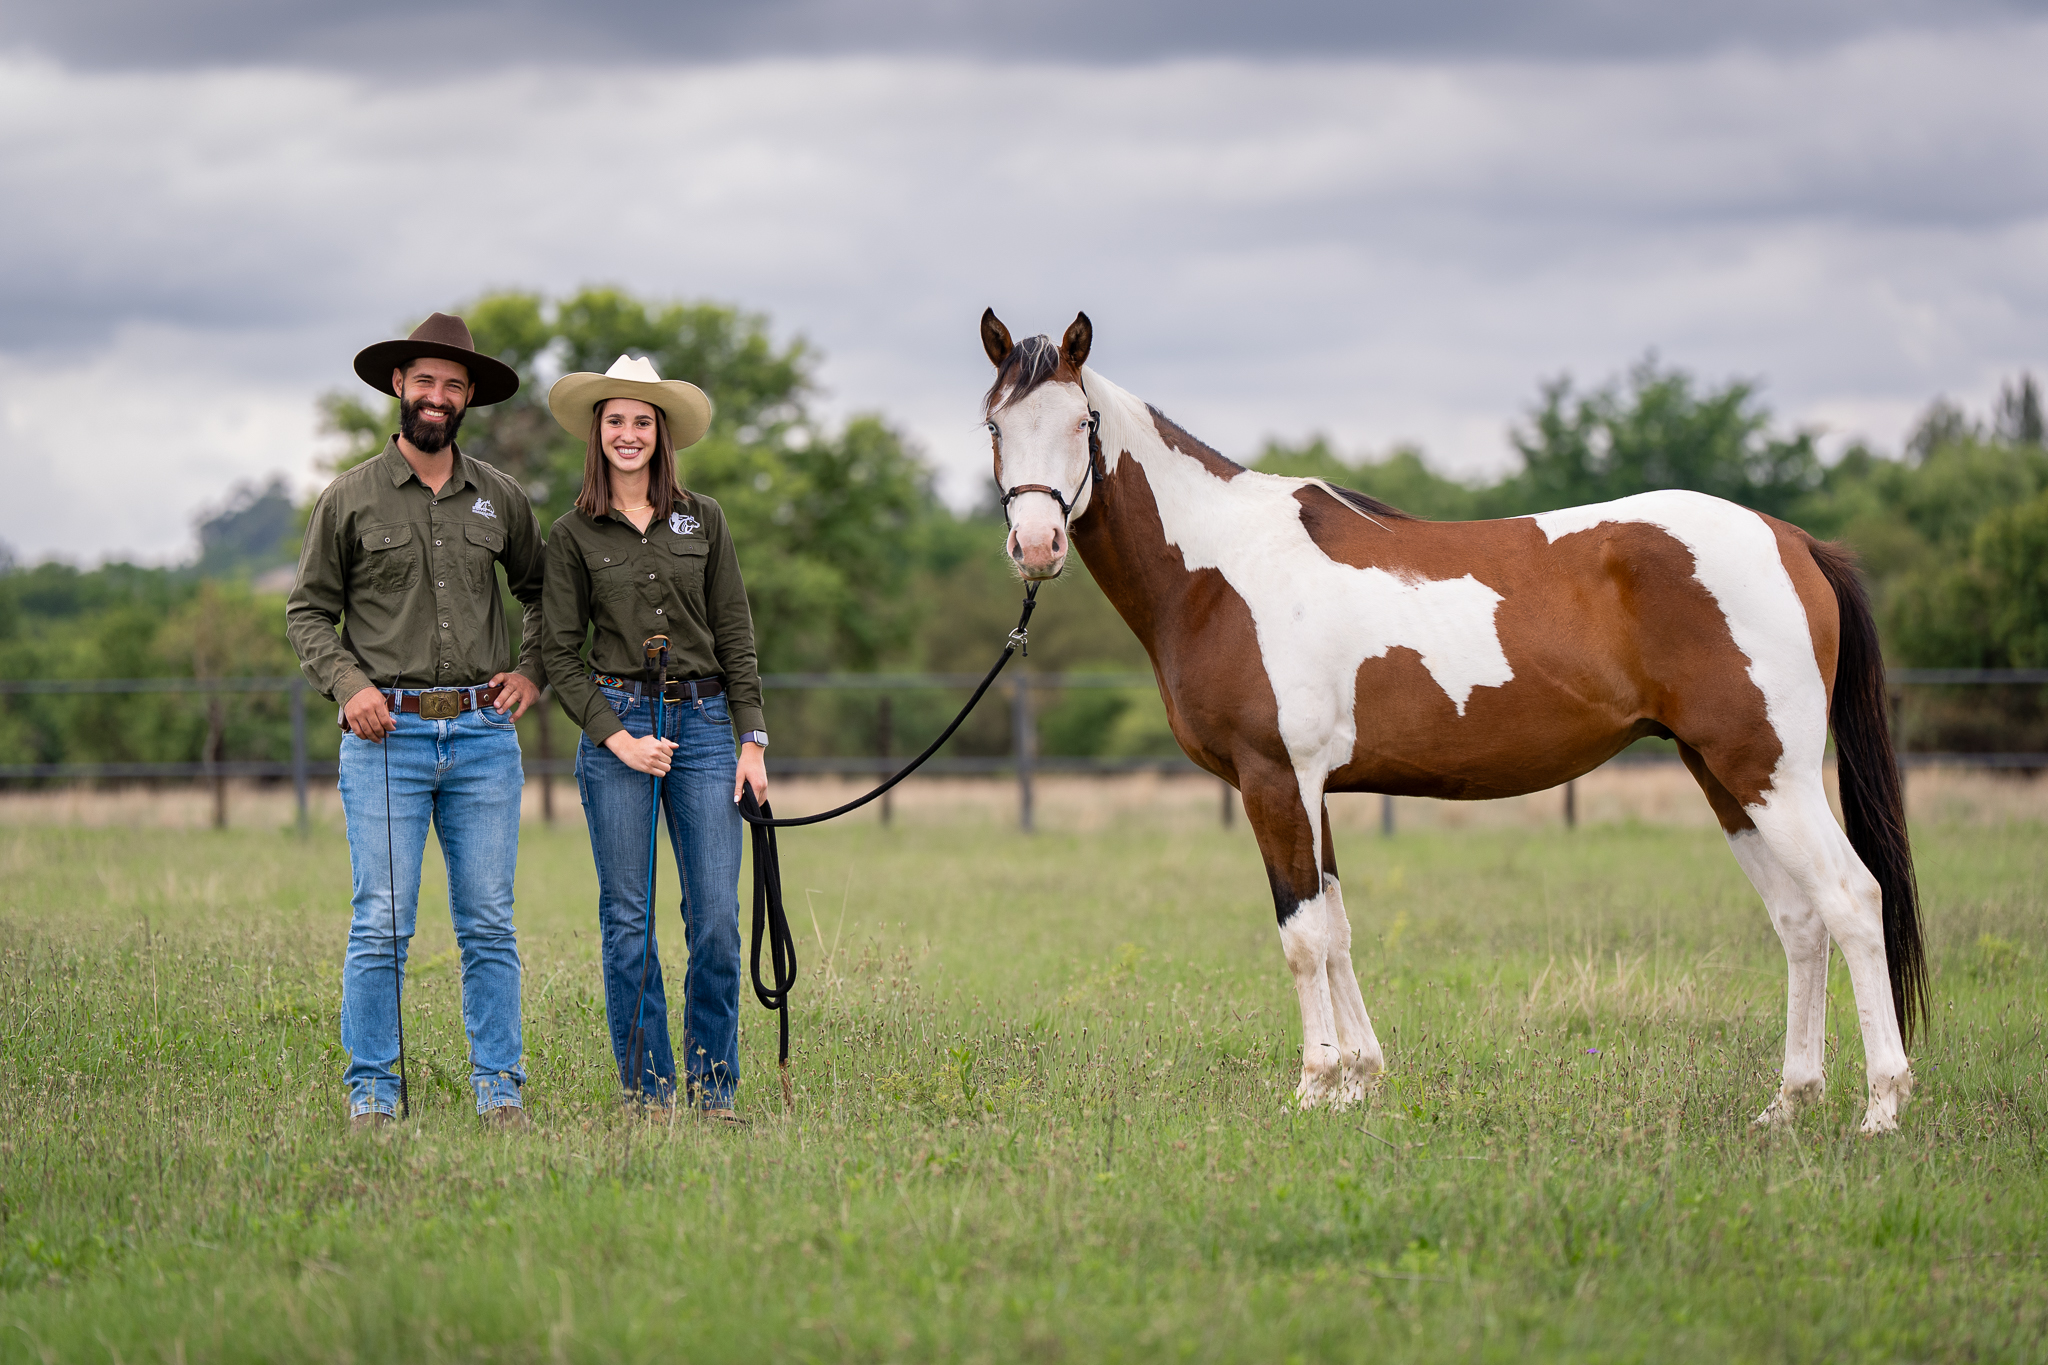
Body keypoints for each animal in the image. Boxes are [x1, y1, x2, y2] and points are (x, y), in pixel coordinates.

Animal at [978, 309, 1926, 1135]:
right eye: (994, 426)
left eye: (1081, 422)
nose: (1036, 547)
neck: (1221, 570)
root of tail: (1795, 541)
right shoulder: (1313, 790)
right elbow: (1338, 928)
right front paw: (1359, 1082)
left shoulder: (1274, 779)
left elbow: (1302, 935)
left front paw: (1313, 1085)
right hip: (1725, 776)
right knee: (1799, 921)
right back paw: (1788, 1105)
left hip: (1774, 773)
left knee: (1851, 900)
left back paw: (1882, 1107)